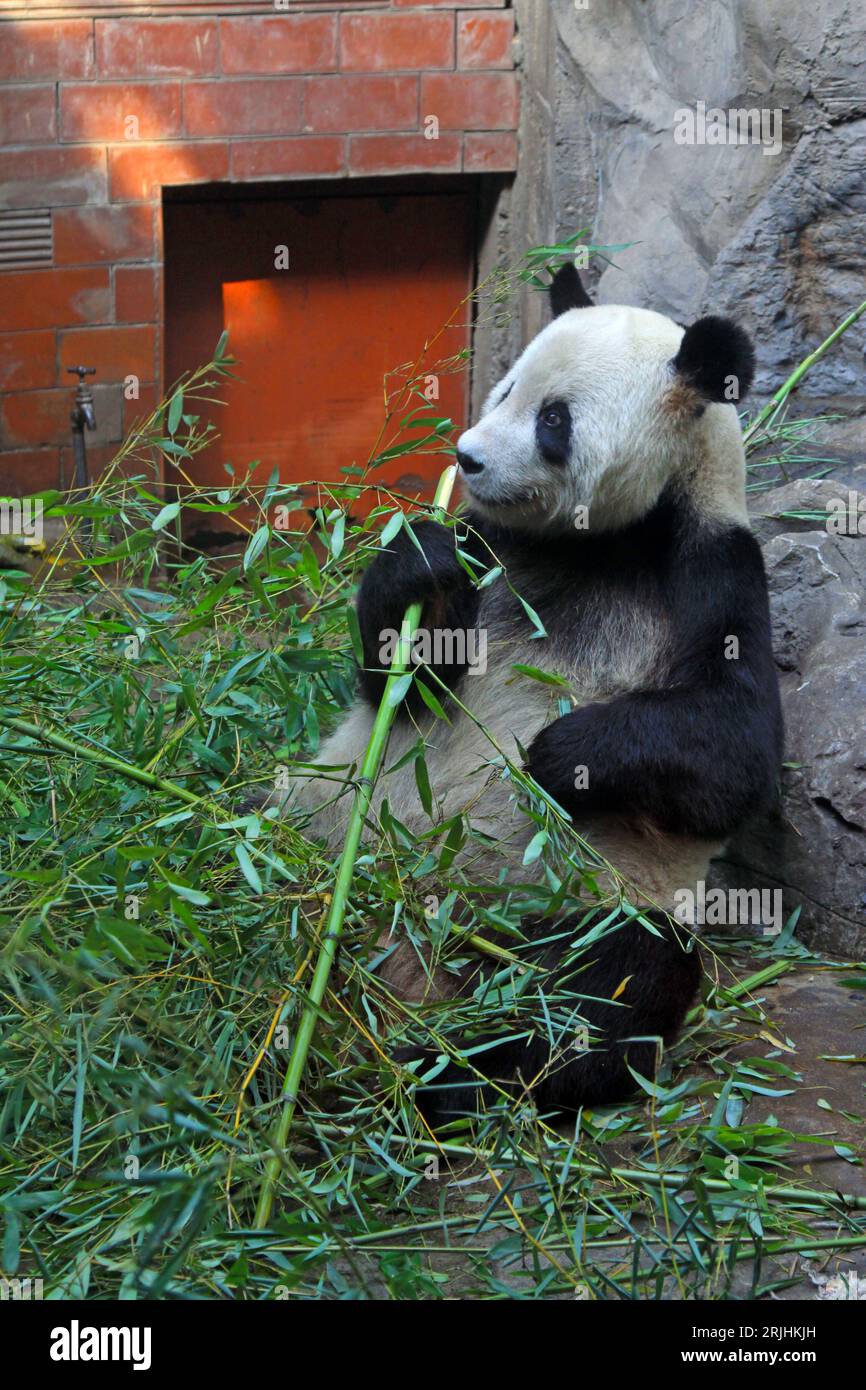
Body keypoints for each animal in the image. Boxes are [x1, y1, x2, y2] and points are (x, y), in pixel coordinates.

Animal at [286, 265, 783, 1123]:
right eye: (506, 386)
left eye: (555, 419)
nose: (468, 458)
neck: (599, 541)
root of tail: (417, 946)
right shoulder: (494, 548)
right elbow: (402, 677)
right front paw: (416, 561)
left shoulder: (713, 569)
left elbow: (735, 754)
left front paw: (558, 756)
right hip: (317, 814)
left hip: (593, 898)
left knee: (604, 994)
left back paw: (431, 1074)